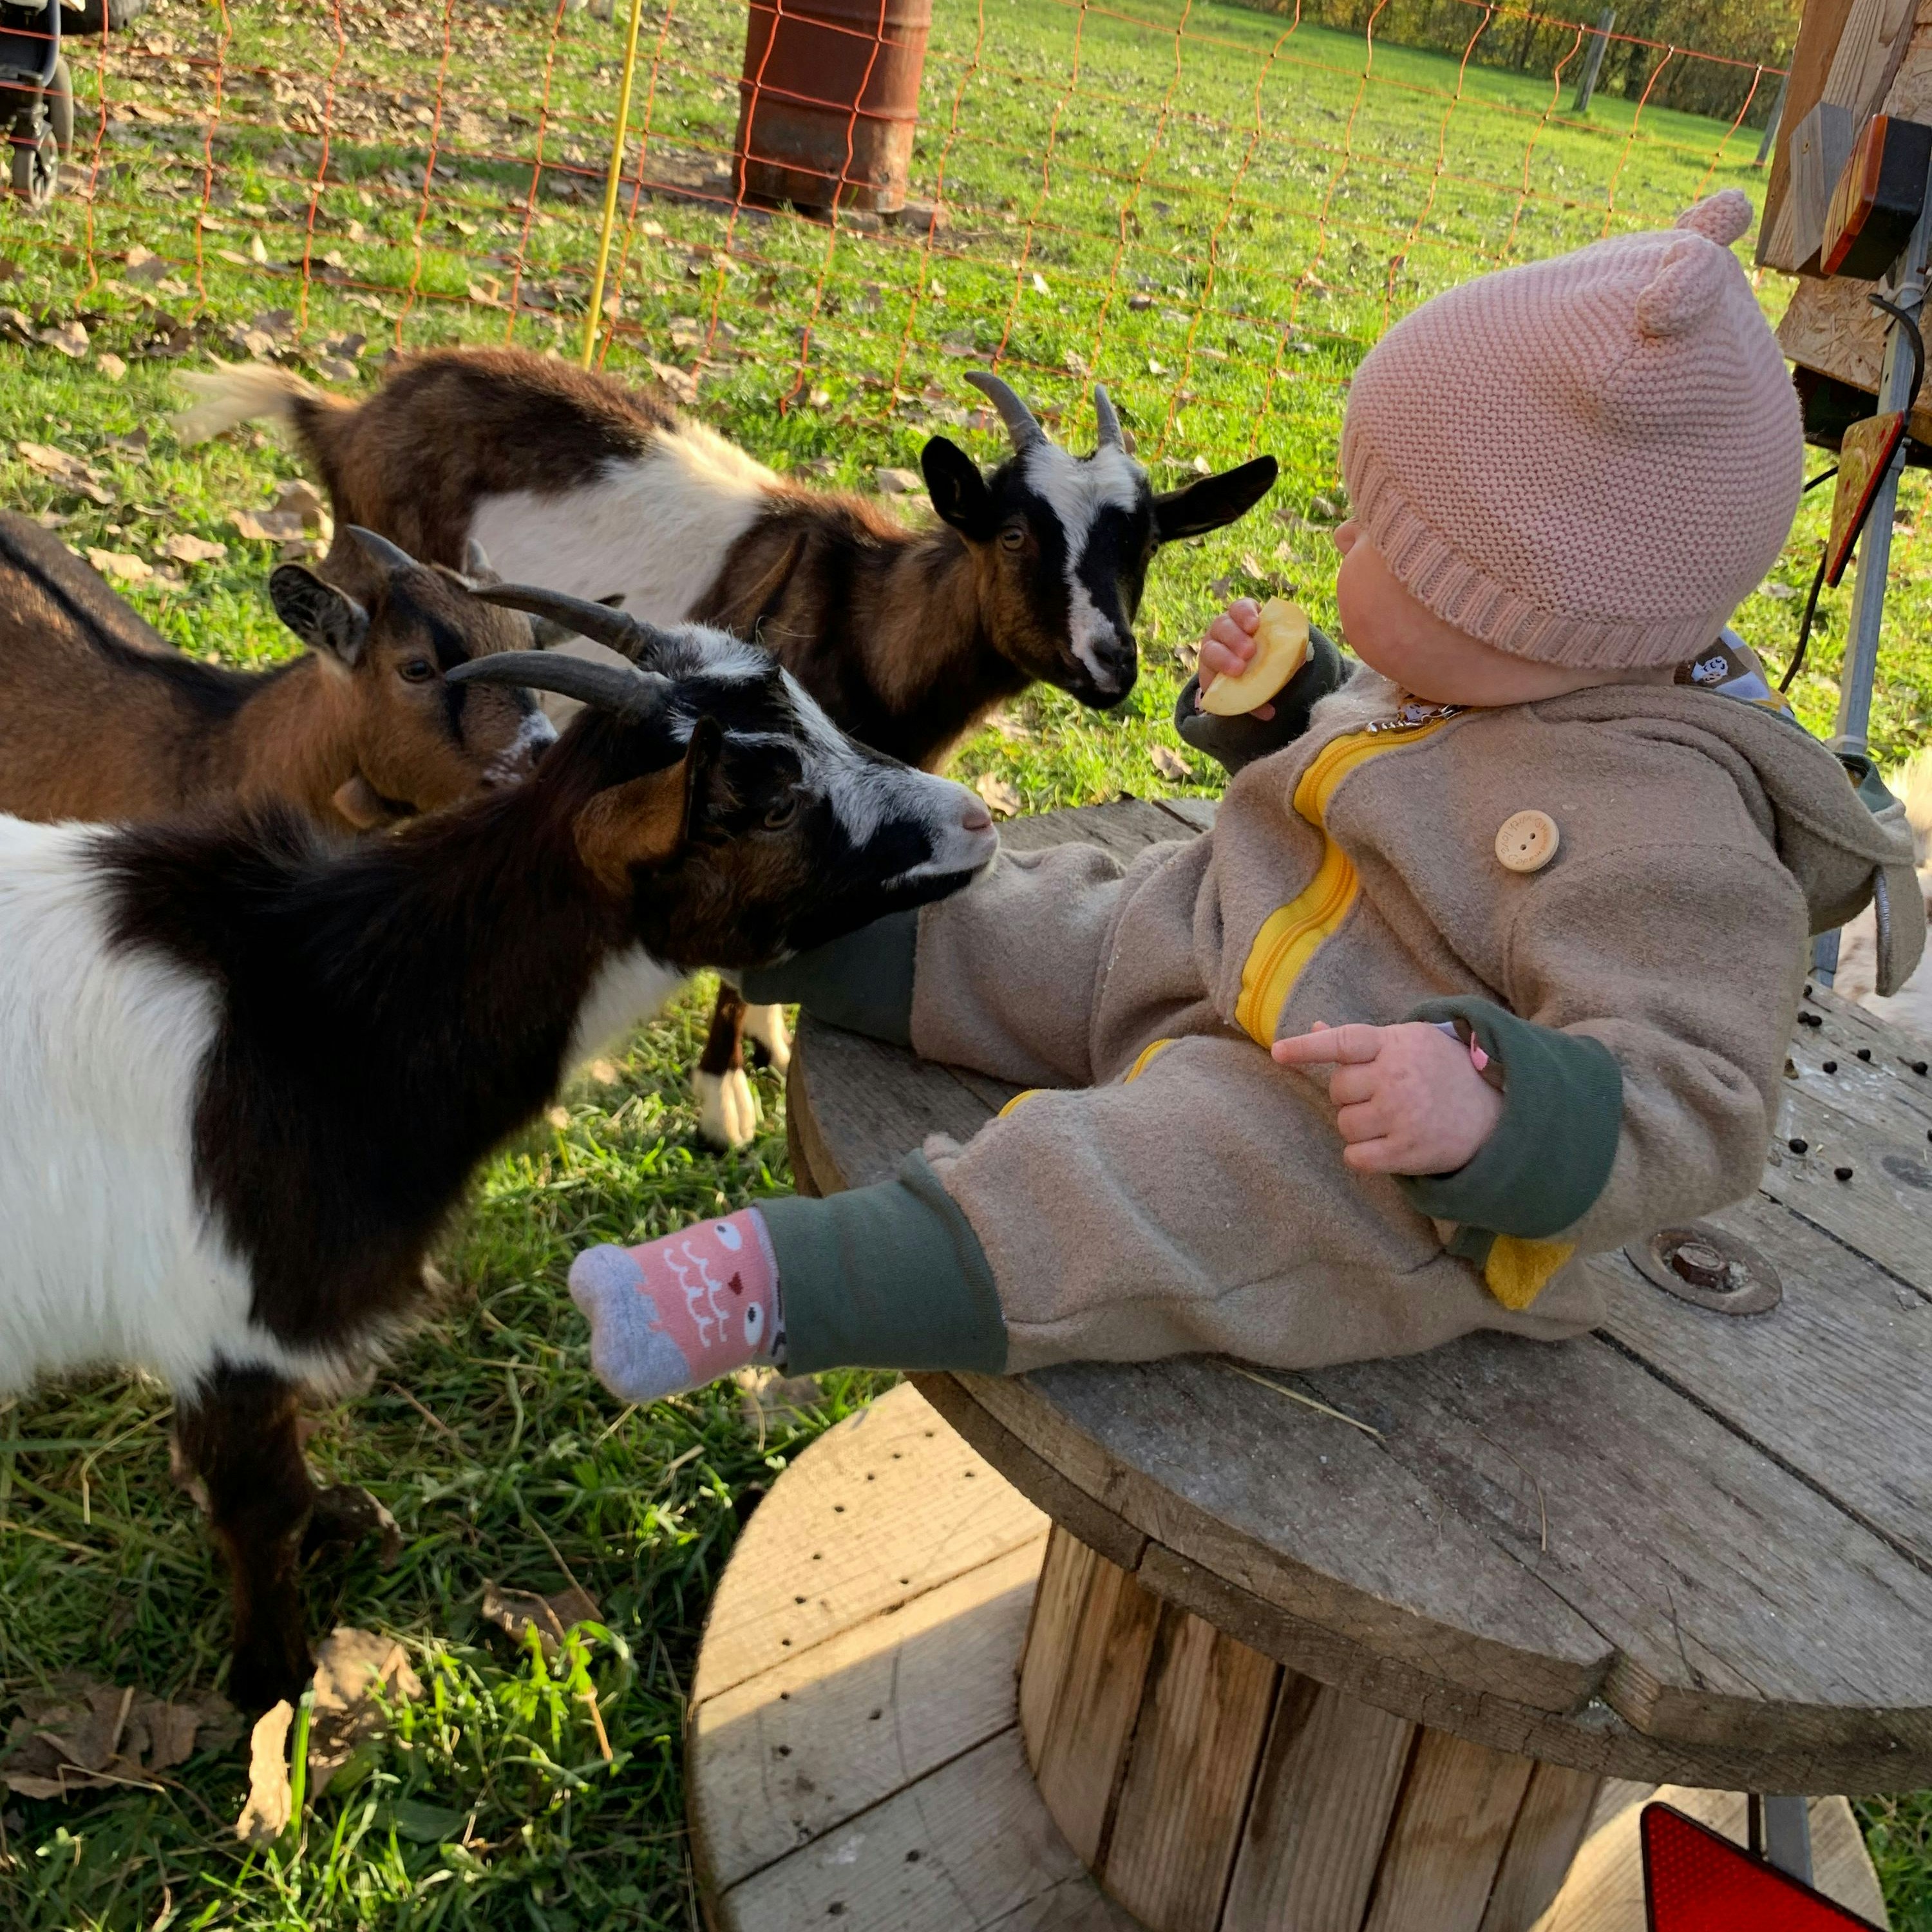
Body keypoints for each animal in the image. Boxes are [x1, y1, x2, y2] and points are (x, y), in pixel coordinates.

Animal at [0, 584, 995, 1710]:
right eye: (773, 804)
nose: (974, 819)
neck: (320, 1017)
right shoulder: (231, 1325)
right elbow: (260, 1507)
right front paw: (273, 1685)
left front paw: (344, 1522)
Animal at [174, 348, 1278, 1145]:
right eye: (1012, 535)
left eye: (1146, 545)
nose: (1112, 666)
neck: (865, 617)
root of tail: (341, 414)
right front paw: (722, 1104)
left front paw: (773, 1039)